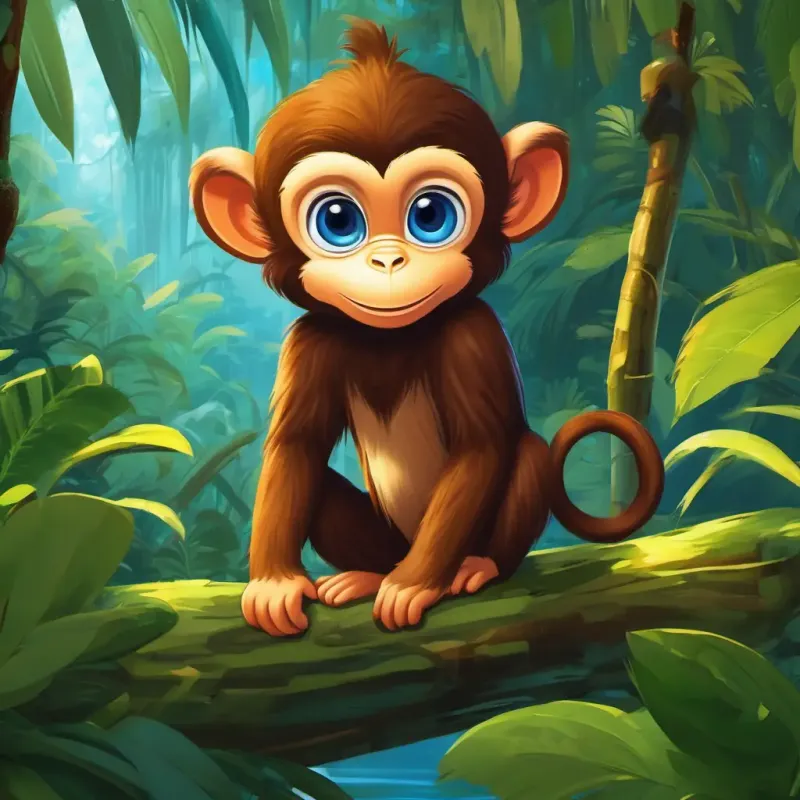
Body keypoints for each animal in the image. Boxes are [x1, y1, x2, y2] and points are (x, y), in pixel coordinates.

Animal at [188, 18, 665, 637]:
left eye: (430, 215)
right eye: (337, 220)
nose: (388, 261)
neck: (390, 338)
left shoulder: (473, 331)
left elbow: (481, 449)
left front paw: (414, 586)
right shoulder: (308, 340)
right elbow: (295, 448)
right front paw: (273, 582)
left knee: (527, 455)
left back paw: (475, 566)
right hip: (382, 537)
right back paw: (366, 575)